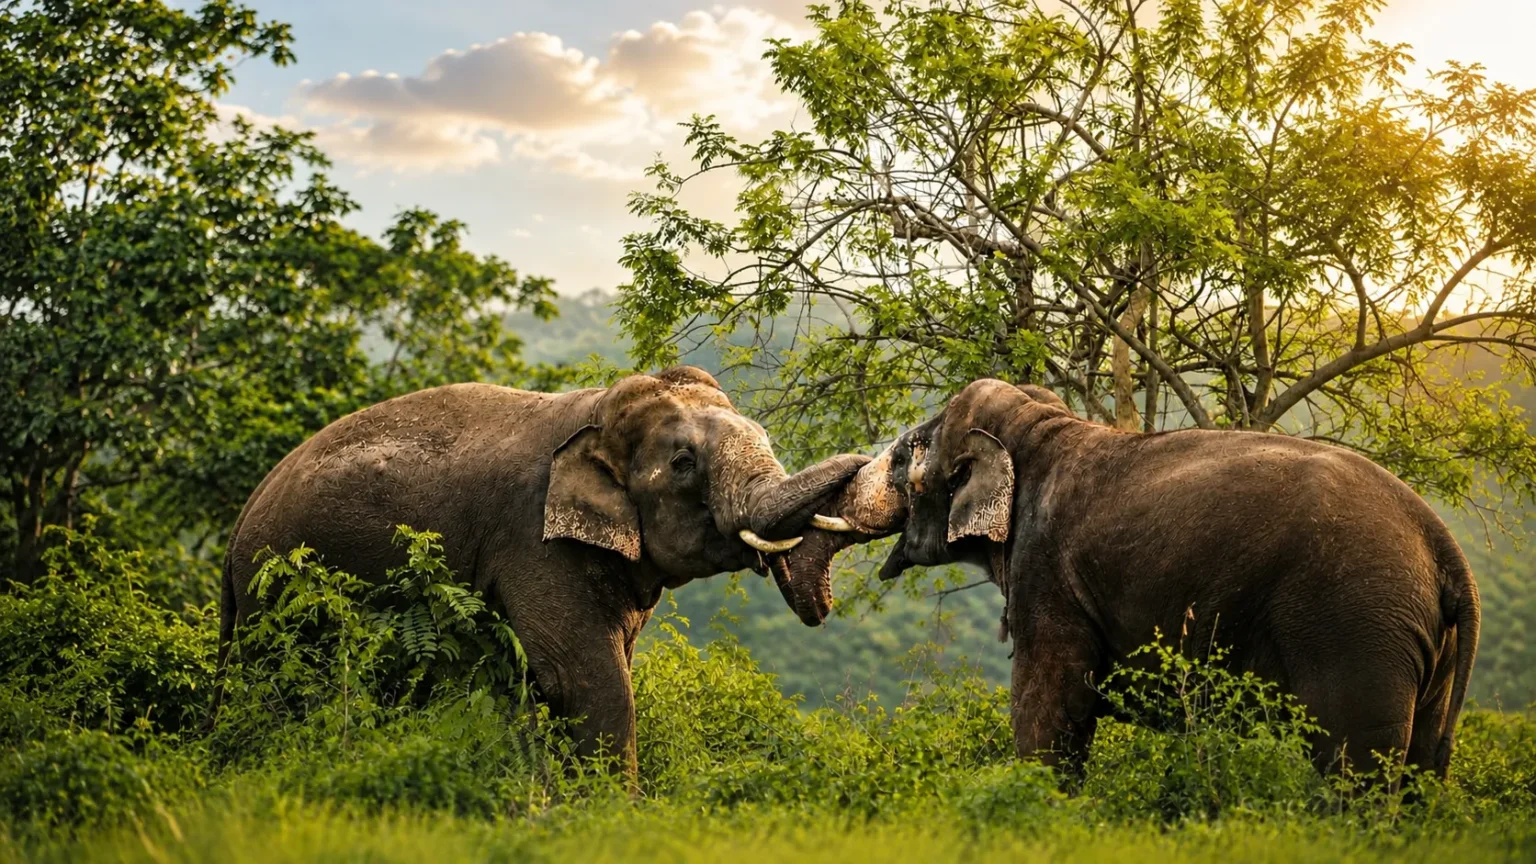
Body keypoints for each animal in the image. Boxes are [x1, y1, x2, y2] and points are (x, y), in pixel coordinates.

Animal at [215, 366, 868, 778]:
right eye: (683, 463)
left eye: (764, 435)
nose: (870, 458)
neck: (593, 410)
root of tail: (241, 518)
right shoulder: (533, 539)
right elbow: (581, 680)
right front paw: (612, 812)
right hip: (282, 587)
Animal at [785, 379, 1480, 779]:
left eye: (907, 456)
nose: (819, 608)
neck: (1042, 427)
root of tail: (1445, 550)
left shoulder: (1049, 572)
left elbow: (1049, 706)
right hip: (1418, 645)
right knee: (1419, 767)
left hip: (1354, 626)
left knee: (1354, 767)